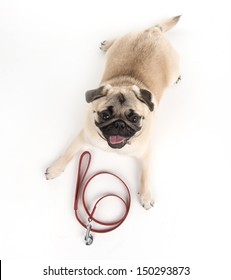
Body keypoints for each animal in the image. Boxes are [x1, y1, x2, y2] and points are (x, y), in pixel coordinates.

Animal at [45, 14, 181, 208]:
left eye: (134, 118)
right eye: (105, 115)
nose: (119, 124)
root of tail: (154, 31)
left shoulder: (146, 153)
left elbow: (145, 175)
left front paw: (145, 196)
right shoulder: (82, 137)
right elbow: (67, 154)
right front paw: (55, 169)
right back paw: (108, 43)